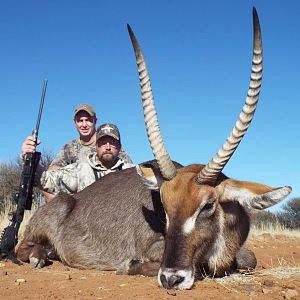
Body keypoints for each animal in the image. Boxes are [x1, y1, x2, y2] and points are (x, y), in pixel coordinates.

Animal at [15, 7, 290, 290]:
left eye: (208, 205)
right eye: (164, 207)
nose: (171, 277)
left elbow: (248, 258)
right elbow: (202, 266)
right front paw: (131, 266)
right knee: (21, 249)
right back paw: (38, 256)